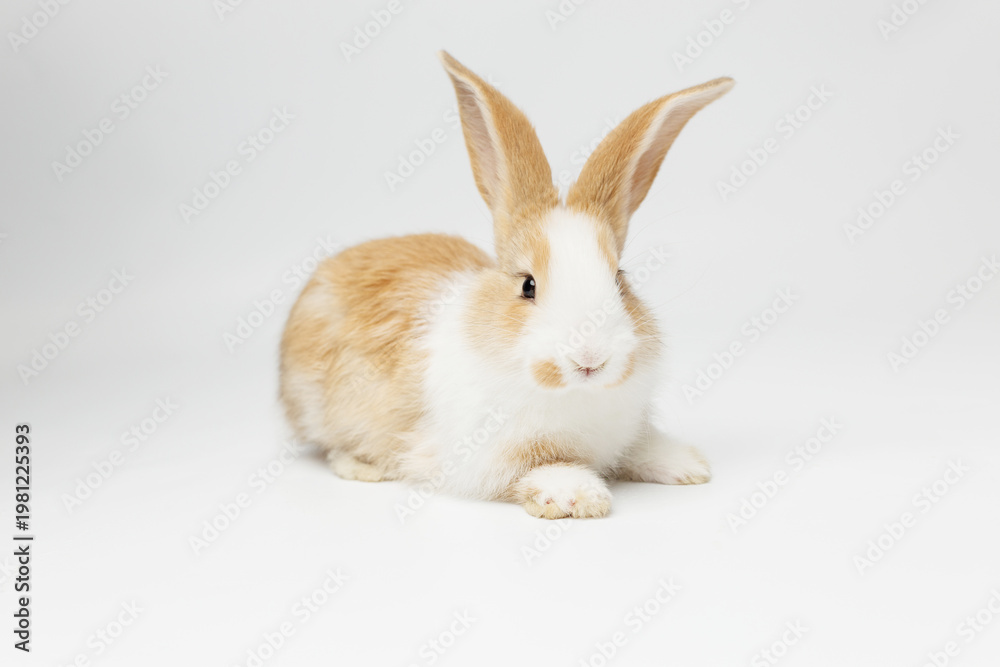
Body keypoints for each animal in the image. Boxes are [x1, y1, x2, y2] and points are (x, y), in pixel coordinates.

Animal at [279, 51, 733, 519]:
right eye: (528, 286)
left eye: (620, 280)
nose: (590, 360)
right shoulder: (483, 458)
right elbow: (536, 469)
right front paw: (578, 496)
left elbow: (637, 447)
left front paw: (688, 465)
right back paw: (363, 467)